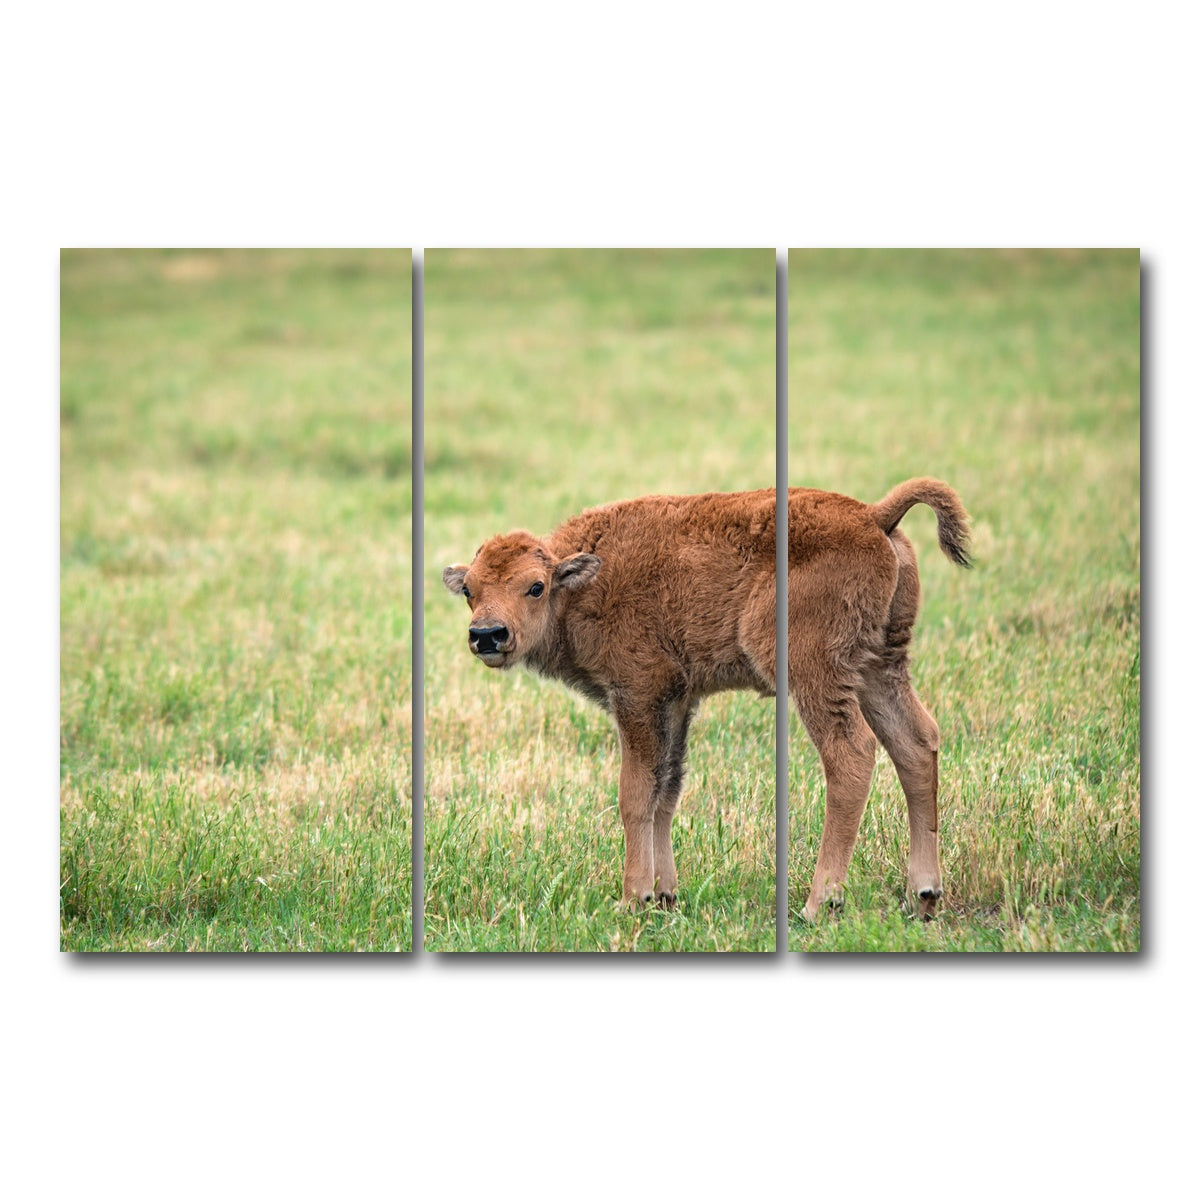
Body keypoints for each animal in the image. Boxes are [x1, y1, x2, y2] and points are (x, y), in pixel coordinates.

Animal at [442, 479, 969, 919]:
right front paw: (665, 896)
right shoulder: (676, 701)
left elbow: (635, 793)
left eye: (535, 586)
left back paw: (819, 904)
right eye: (469, 589)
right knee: (916, 743)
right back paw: (923, 896)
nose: (487, 634)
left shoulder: (638, 694)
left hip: (816, 673)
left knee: (851, 754)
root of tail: (873, 516)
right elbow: (666, 791)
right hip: (879, 666)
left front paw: (632, 899)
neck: (581, 581)